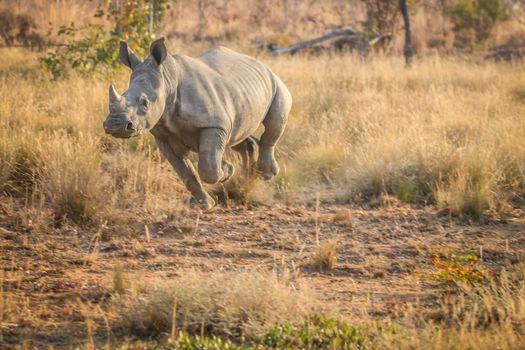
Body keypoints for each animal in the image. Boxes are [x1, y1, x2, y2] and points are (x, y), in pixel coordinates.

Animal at [102, 39, 290, 208]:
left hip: (276, 84)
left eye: (145, 102)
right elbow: (186, 173)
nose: (114, 125)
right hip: (241, 93)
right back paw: (247, 178)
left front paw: (226, 170)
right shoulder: (163, 135)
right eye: (123, 94)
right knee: (237, 134)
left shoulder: (214, 124)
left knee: (272, 126)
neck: (168, 82)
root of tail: (262, 64)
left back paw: (265, 174)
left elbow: (208, 168)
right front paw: (204, 204)